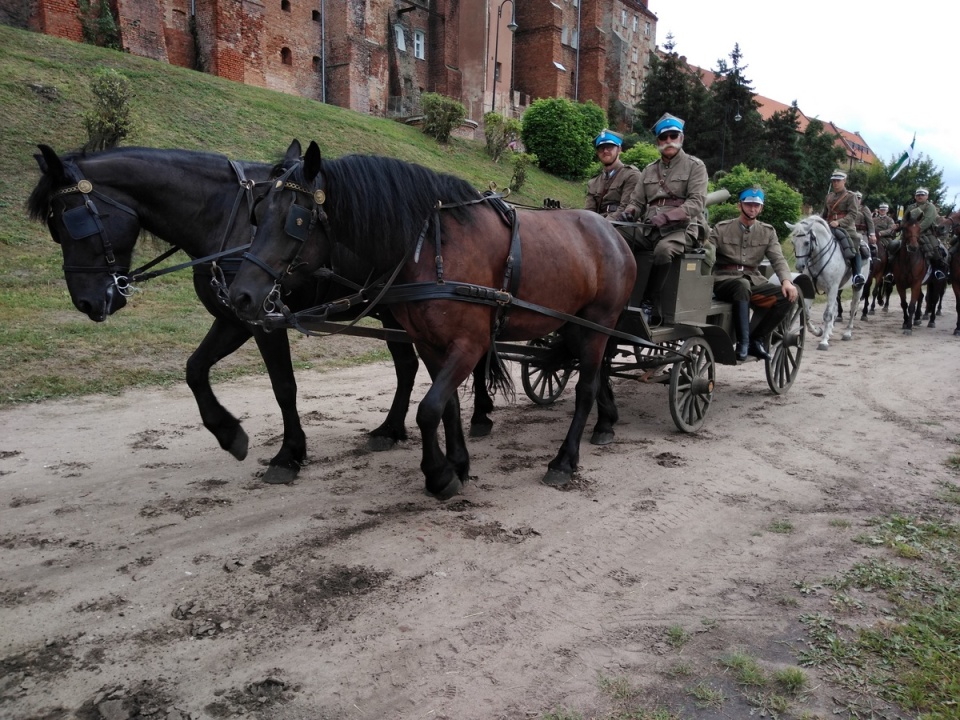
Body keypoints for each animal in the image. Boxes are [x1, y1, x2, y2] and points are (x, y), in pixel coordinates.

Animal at [230, 141, 640, 500]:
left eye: (295, 219)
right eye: (257, 213)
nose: (240, 296)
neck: (431, 248)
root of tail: (612, 232)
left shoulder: (470, 345)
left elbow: (428, 411)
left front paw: (438, 474)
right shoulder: (429, 343)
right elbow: (448, 406)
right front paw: (457, 464)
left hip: (597, 324)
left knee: (586, 387)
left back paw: (565, 460)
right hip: (578, 325)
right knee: (599, 374)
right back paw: (604, 423)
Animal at [788, 215, 872, 350]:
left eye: (806, 242)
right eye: (793, 242)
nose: (799, 266)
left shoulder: (832, 288)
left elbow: (827, 314)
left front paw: (823, 342)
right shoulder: (813, 288)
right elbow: (807, 313)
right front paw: (818, 332)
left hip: (857, 287)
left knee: (853, 307)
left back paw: (847, 333)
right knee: (836, 307)